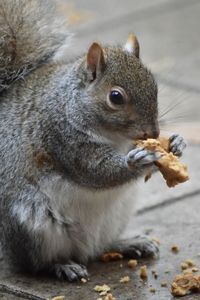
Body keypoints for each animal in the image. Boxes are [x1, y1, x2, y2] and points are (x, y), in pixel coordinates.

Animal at [0, 0, 186, 282]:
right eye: (115, 97)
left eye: (154, 86)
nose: (153, 133)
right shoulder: (60, 136)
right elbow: (94, 171)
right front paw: (138, 161)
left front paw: (176, 144)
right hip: (32, 226)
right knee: (35, 264)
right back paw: (62, 265)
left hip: (117, 215)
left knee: (98, 248)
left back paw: (128, 243)